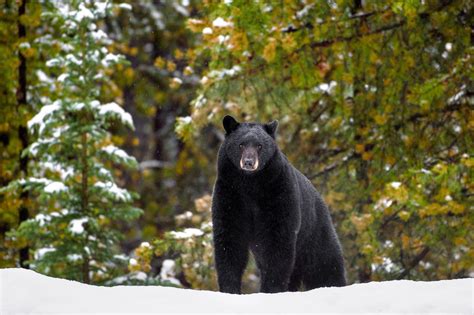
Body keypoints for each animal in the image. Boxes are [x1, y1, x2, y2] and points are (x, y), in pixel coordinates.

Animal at [213, 115, 346, 294]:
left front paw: (271, 289)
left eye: (259, 145)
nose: (248, 162)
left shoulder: (278, 192)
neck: (250, 184)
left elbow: (278, 241)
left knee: (324, 262)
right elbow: (229, 237)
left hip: (314, 230)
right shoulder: (229, 194)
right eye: (241, 144)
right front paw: (230, 289)